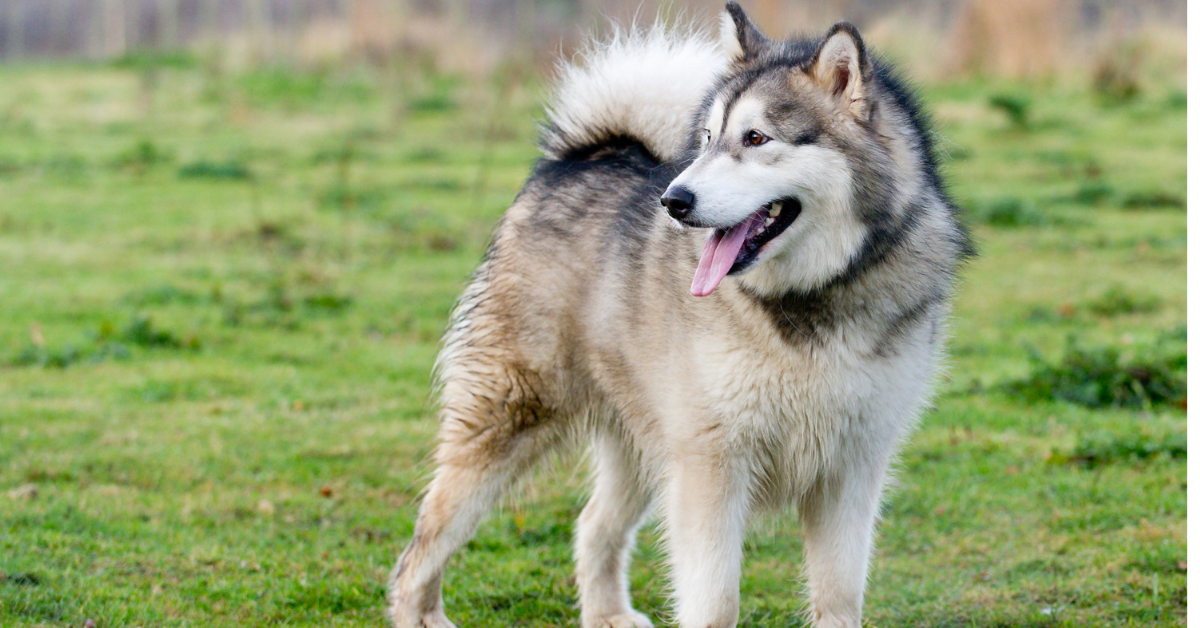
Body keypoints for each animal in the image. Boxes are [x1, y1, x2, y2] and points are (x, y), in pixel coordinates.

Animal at [388, 2, 969, 624]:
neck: (809, 300)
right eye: (709, 138)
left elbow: (838, 595)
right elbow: (715, 600)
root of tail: (581, 158)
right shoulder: (711, 467)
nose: (673, 201)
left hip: (644, 440)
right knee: (423, 545)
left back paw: (608, 614)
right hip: (511, 418)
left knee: (593, 524)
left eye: (756, 138)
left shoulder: (851, 469)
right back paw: (421, 610)